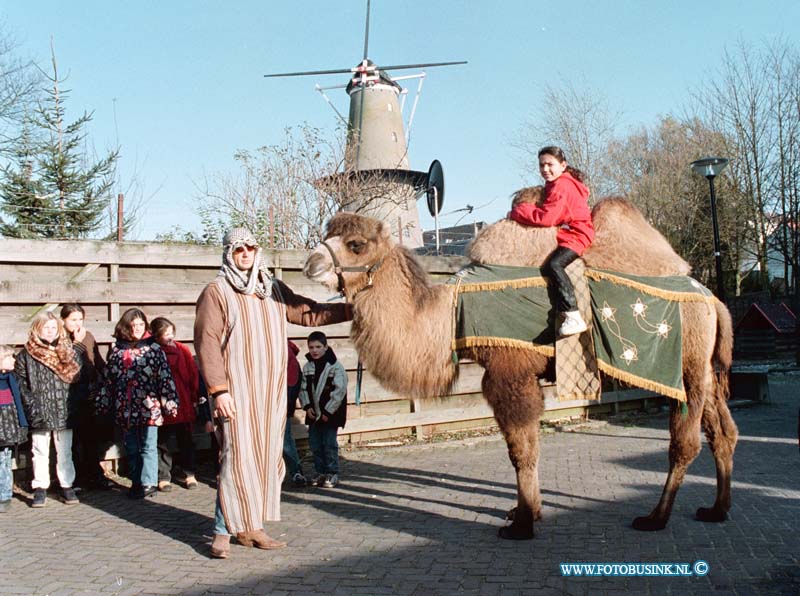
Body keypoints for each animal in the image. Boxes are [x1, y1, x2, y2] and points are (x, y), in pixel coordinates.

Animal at [302, 193, 736, 536]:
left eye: (356, 244)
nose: (310, 264)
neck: (451, 310)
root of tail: (712, 299)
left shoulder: (508, 373)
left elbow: (520, 450)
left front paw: (523, 523)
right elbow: (530, 445)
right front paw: (527, 511)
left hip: (685, 364)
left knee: (686, 441)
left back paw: (656, 517)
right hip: (706, 369)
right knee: (723, 432)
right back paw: (716, 509)